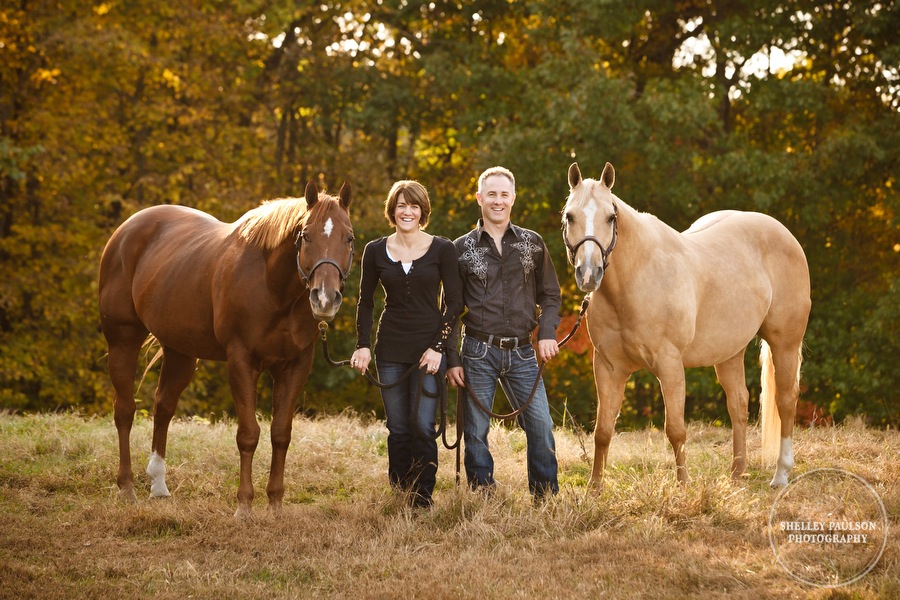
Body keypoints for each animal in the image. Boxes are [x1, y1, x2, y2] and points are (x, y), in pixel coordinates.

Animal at [98, 180, 352, 512]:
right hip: (123, 340)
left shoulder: (295, 365)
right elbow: (248, 434)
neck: (271, 285)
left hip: (180, 352)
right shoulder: (241, 360)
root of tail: (125, 230)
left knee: (163, 407)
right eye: (306, 235)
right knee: (125, 410)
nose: (325, 298)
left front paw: (275, 505)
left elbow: (280, 434)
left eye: (349, 238)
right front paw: (244, 505)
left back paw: (159, 485)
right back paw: (127, 487)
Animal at [564, 163, 808, 488]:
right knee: (739, 404)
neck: (636, 279)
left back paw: (781, 474)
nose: (589, 274)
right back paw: (736, 474)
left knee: (785, 400)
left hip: (785, 344)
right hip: (729, 352)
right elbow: (602, 431)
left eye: (610, 217)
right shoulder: (608, 368)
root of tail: (785, 235)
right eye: (570, 216)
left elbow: (676, 430)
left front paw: (682, 485)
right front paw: (594, 488)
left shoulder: (669, 365)